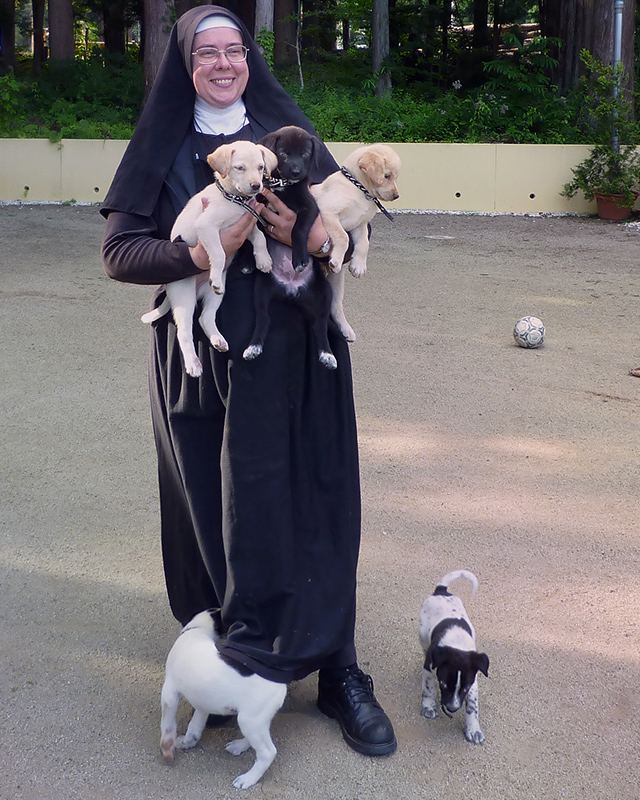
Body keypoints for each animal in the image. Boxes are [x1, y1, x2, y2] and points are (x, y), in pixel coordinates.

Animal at [142, 142, 278, 380]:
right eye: (239, 168)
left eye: (261, 167)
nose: (256, 186)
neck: (235, 200)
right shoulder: (206, 227)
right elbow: (219, 253)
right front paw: (217, 270)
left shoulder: (248, 223)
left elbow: (260, 238)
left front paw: (264, 260)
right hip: (184, 297)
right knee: (184, 331)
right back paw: (193, 364)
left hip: (216, 297)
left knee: (205, 317)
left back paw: (218, 340)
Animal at [160, 612, 288, 788]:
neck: (197, 630)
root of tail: (281, 686)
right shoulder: (202, 704)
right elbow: (194, 727)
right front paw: (187, 742)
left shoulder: (169, 693)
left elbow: (167, 725)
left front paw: (168, 746)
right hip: (257, 720)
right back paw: (239, 745)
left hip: (249, 720)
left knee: (268, 752)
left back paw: (248, 778)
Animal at [310, 144, 400, 340]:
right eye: (387, 176)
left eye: (395, 177)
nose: (396, 196)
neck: (358, 190)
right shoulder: (328, 214)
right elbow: (342, 237)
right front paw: (336, 259)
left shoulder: (359, 225)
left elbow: (364, 244)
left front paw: (359, 266)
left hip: (337, 283)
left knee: (335, 306)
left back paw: (346, 330)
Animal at [420, 568, 490, 744]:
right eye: (443, 685)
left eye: (465, 688)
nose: (452, 708)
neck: (457, 644)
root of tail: (442, 591)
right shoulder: (429, 667)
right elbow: (428, 688)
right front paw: (428, 706)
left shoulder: (474, 681)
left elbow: (472, 707)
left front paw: (474, 730)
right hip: (422, 636)